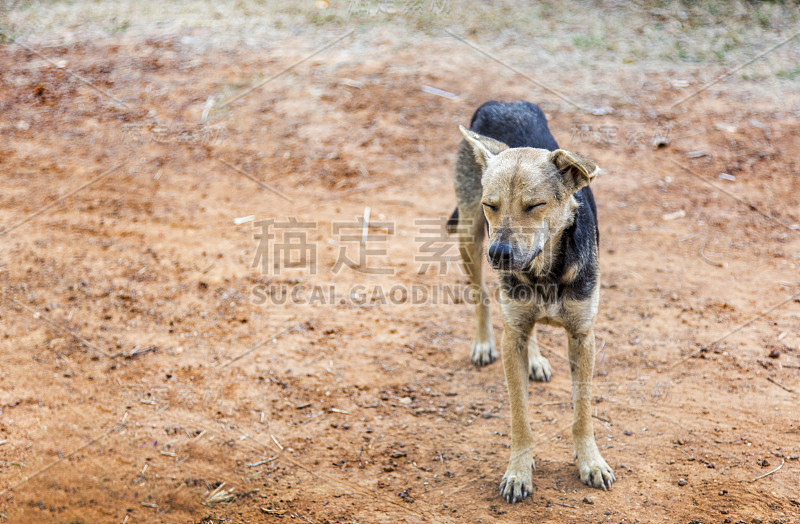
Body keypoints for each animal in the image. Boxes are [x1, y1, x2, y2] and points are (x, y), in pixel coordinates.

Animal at [450, 101, 612, 504]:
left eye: (535, 205)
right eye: (491, 205)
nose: (499, 254)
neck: (544, 273)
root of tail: (501, 102)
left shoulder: (583, 336)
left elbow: (582, 412)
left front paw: (590, 461)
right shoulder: (513, 338)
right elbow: (519, 415)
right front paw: (519, 471)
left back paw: (536, 359)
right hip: (468, 237)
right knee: (484, 298)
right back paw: (483, 342)